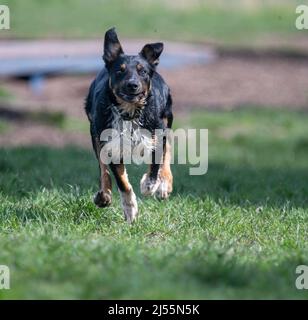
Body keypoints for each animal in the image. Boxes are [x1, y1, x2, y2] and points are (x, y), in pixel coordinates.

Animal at [85, 28, 173, 222]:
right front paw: (130, 209)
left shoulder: (156, 134)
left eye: (143, 72)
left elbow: (156, 164)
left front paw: (150, 185)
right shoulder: (111, 145)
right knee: (102, 168)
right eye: (120, 71)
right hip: (94, 130)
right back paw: (104, 195)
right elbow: (122, 182)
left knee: (168, 149)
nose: (132, 85)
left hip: (167, 117)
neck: (129, 113)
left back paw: (165, 184)